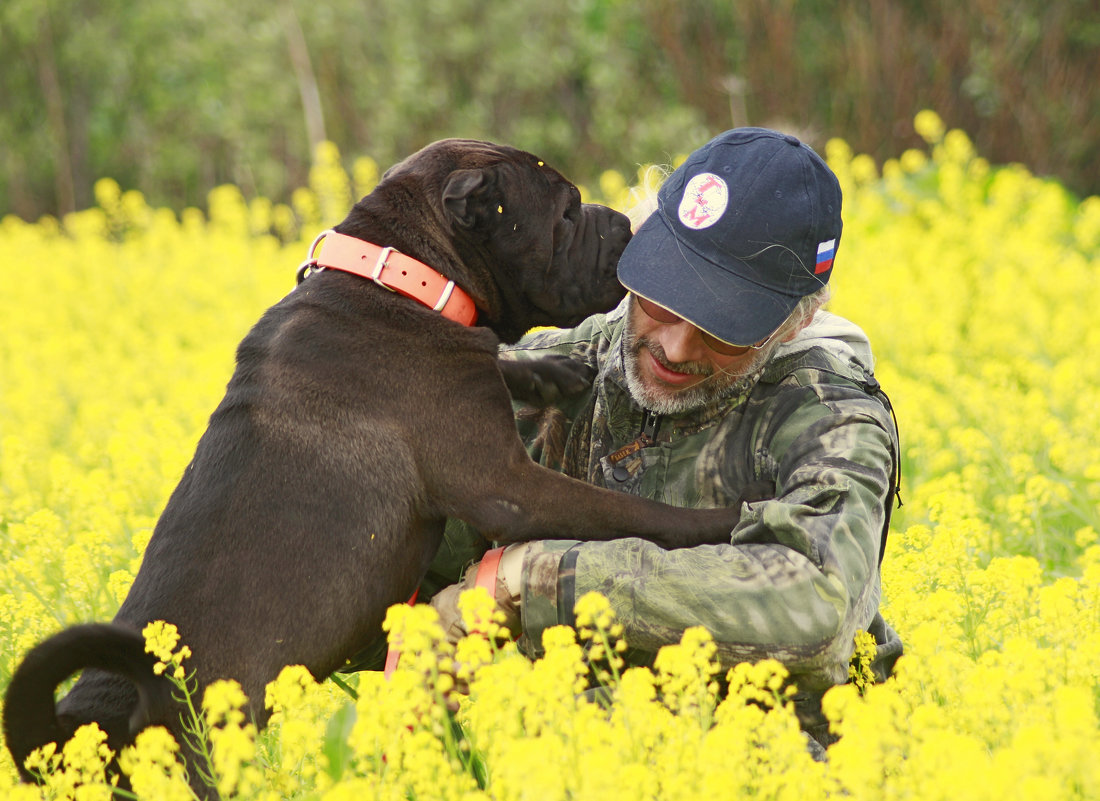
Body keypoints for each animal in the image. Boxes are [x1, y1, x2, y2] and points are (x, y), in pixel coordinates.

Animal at [4, 139, 743, 796]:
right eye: (564, 212)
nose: (621, 221)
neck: (405, 275)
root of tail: (62, 739)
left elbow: (499, 358)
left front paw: (550, 370)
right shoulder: (507, 485)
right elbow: (630, 510)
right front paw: (725, 521)